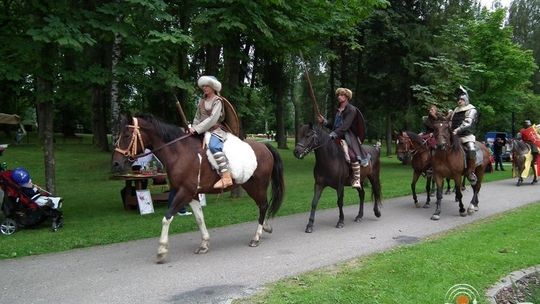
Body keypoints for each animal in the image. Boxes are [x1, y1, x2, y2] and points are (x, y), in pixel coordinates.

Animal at [112, 113, 284, 262]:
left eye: (126, 135)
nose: (116, 163)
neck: (179, 152)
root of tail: (265, 147)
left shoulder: (184, 192)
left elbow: (167, 217)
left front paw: (161, 250)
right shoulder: (192, 195)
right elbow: (199, 219)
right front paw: (204, 244)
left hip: (257, 186)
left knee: (263, 205)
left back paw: (256, 237)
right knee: (262, 205)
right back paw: (266, 227)